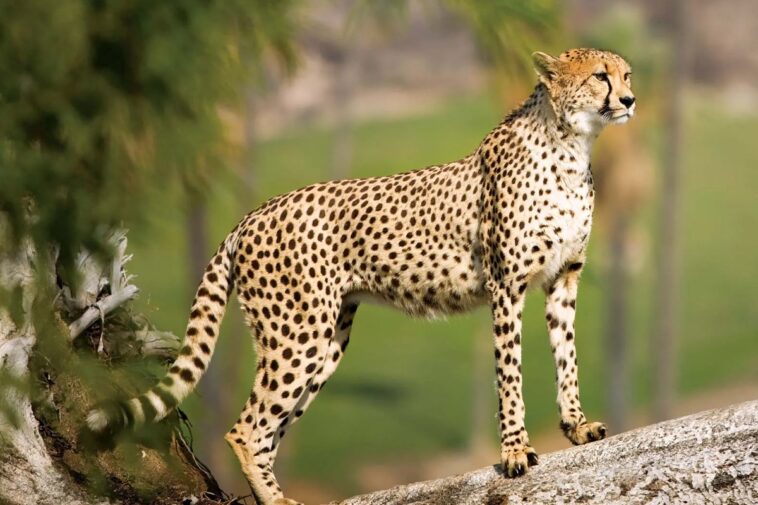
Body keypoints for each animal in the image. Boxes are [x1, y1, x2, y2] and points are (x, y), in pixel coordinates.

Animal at [86, 48, 635, 505]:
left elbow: (567, 357)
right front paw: (516, 451)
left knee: (268, 430)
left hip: (326, 341)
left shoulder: (563, 280)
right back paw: (275, 499)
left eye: (626, 73)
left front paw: (576, 426)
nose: (630, 99)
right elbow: (510, 372)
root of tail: (253, 213)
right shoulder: (507, 286)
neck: (571, 145)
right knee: (246, 429)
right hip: (297, 335)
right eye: (599, 76)